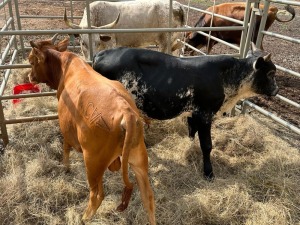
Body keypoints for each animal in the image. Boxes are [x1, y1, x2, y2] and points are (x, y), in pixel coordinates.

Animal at [27, 33, 157, 225]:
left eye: (32, 61)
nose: (29, 76)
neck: (65, 67)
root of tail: (126, 112)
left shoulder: (67, 127)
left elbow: (65, 147)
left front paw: (65, 167)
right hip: (138, 158)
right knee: (148, 197)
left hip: (93, 163)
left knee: (96, 195)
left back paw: (83, 218)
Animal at [93, 43, 278, 178]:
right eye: (270, 72)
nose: (276, 90)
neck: (227, 77)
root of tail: (101, 54)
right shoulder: (204, 114)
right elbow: (207, 145)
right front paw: (208, 172)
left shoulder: (193, 113)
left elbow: (191, 132)